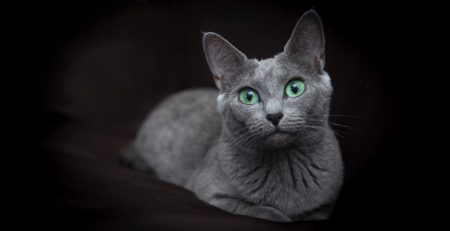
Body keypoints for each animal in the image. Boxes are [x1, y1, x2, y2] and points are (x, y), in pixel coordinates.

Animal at [121, 10, 342, 222]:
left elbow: (317, 214)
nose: (274, 115)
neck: (286, 164)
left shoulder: (329, 201)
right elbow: (261, 211)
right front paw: (282, 216)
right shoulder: (212, 194)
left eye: (295, 88)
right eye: (248, 96)